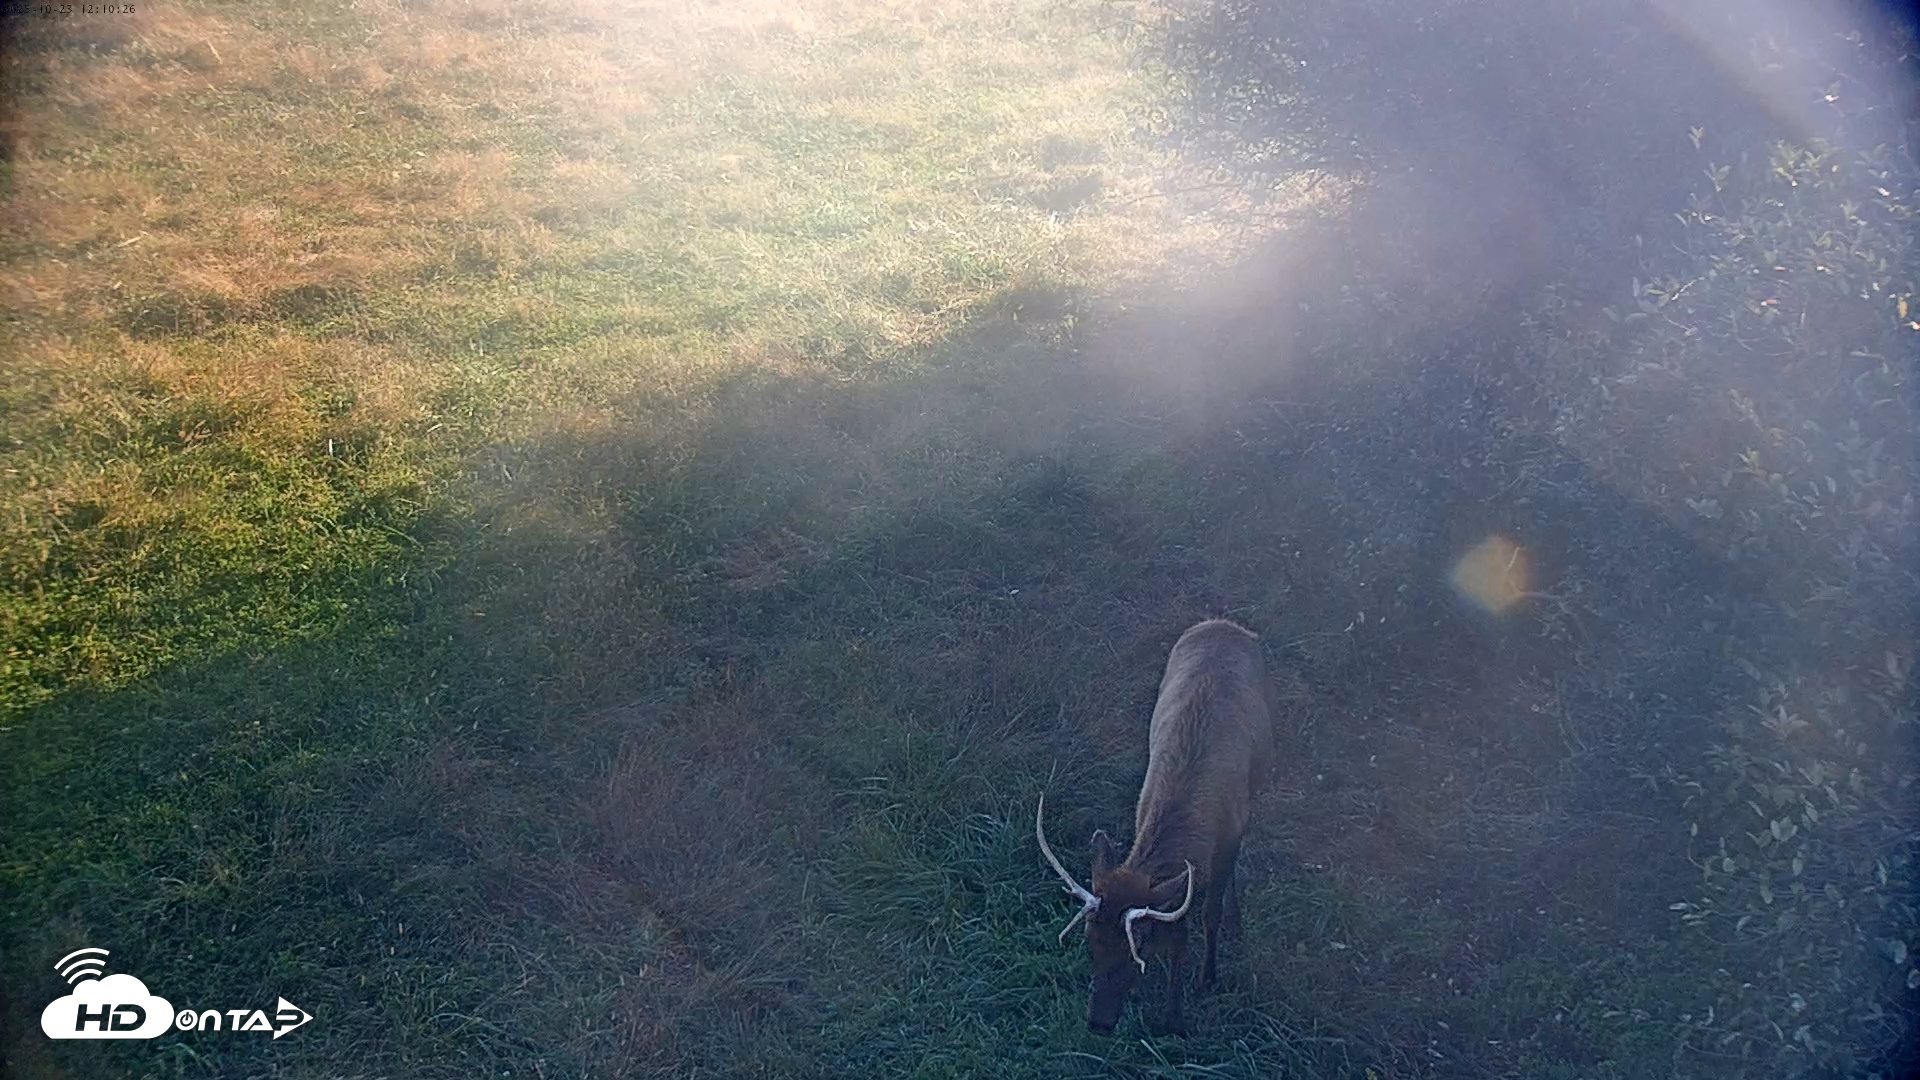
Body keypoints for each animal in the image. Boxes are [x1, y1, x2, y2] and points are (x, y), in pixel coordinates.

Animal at [1037, 618, 1277, 1035]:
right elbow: (1179, 919)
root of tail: (1224, 623)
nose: (1098, 1022)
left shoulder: (1232, 832)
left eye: (1138, 945)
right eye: (1089, 944)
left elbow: (1207, 912)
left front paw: (1202, 985)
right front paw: (1174, 1014)